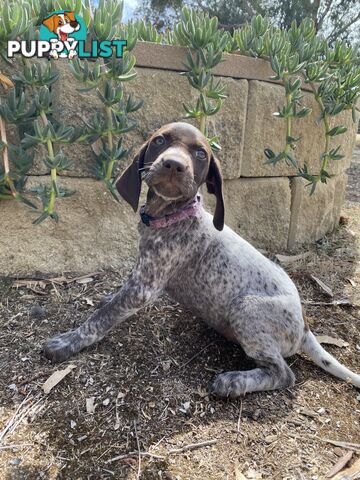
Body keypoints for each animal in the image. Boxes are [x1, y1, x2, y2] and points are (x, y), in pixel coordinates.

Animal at [44, 122, 360, 396]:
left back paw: (234, 382)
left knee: (284, 374)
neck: (171, 216)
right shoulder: (140, 276)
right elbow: (115, 301)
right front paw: (108, 299)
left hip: (245, 308)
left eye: (200, 154)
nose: (174, 164)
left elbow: (100, 319)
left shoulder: (143, 288)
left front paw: (68, 341)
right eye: (160, 140)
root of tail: (304, 326)